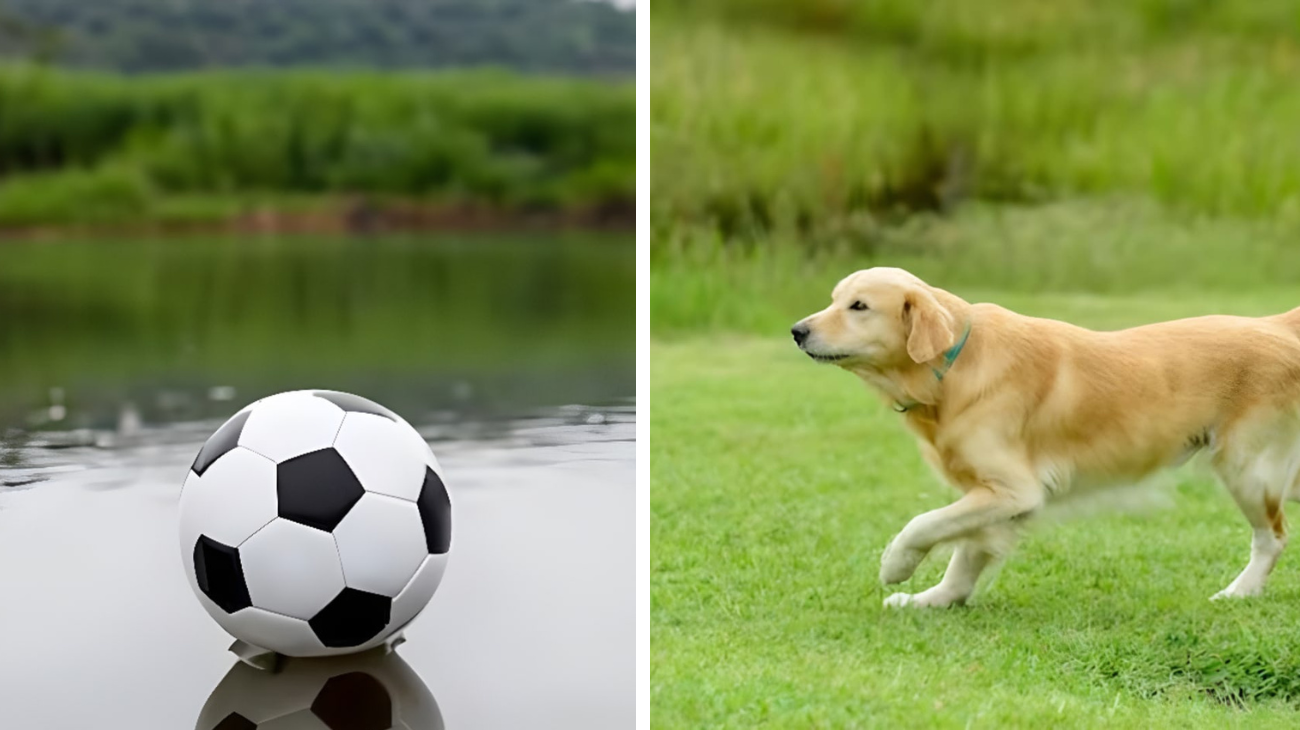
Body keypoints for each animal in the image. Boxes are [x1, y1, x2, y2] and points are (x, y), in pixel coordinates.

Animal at [785, 263, 1300, 605]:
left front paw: (897, 566)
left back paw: (1239, 592)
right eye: (834, 299)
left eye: (859, 306)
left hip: (1248, 469)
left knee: (1272, 537)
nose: (796, 330)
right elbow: (965, 554)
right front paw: (935, 600)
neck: (954, 366)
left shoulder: (1015, 490)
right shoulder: (991, 495)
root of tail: (1277, 325)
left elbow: (924, 523)